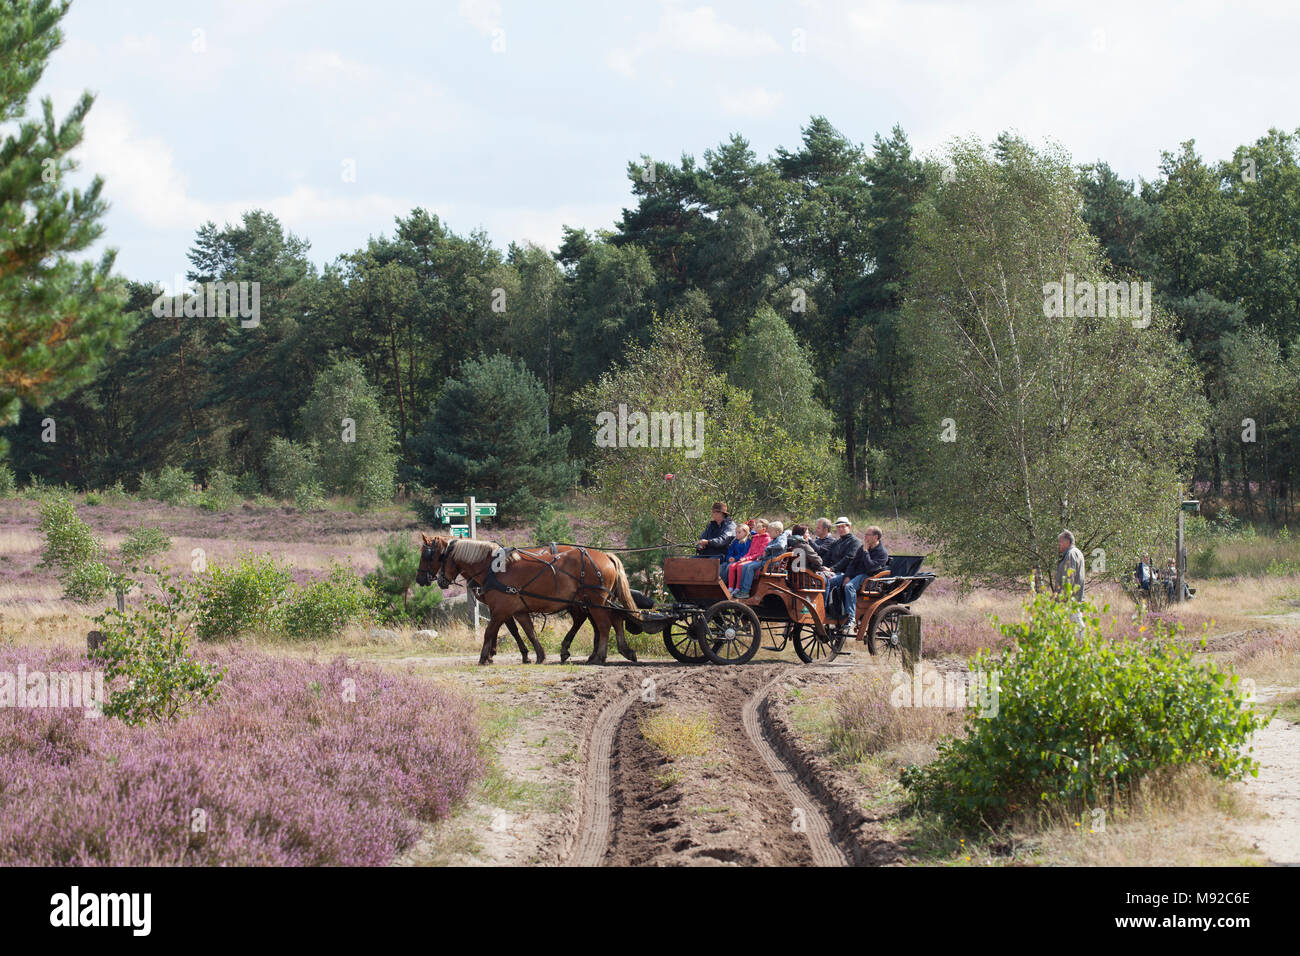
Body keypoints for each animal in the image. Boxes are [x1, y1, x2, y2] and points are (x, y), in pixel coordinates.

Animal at [418, 538, 642, 665]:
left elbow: (491, 631)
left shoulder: (500, 609)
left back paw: (599, 656)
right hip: (595, 601)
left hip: (594, 600)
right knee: (614, 619)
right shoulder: (517, 610)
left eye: (430, 556)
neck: (492, 568)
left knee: (603, 625)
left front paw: (485, 656)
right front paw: (538, 655)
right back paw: (619, 651)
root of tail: (607, 556)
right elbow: (528, 632)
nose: (422, 579)